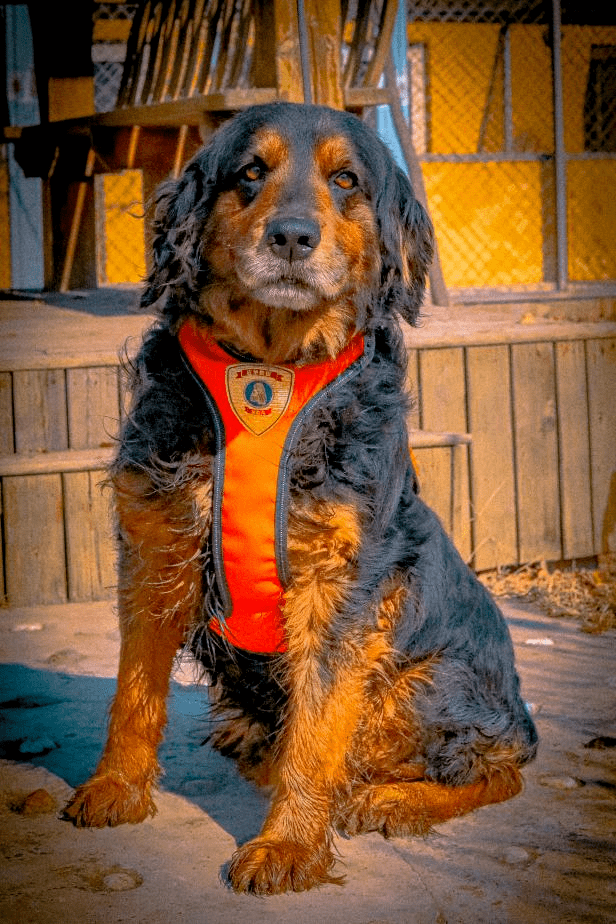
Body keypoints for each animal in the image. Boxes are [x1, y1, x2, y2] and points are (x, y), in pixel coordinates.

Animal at [61, 103, 536, 896]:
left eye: (346, 180)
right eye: (250, 171)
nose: (290, 236)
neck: (269, 368)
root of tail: (519, 712)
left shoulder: (339, 585)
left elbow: (316, 734)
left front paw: (288, 845)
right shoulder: (157, 543)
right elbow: (133, 693)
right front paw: (118, 789)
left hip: (420, 680)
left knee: (497, 767)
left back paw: (396, 800)